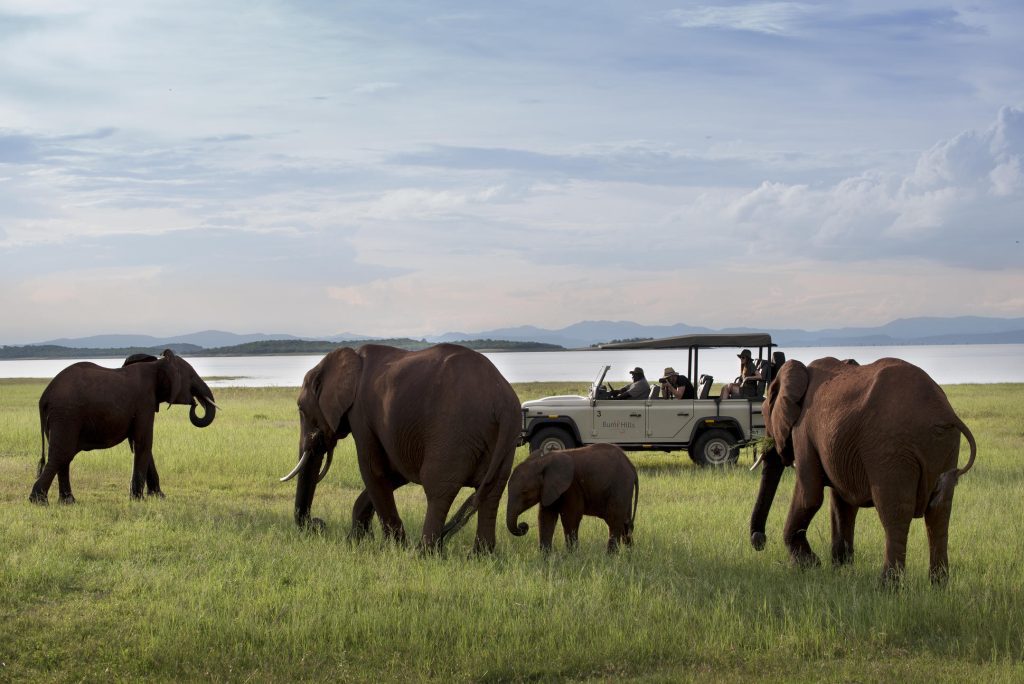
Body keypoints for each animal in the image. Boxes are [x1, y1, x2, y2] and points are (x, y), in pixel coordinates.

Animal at [32, 352, 216, 501]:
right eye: (191, 376)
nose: (195, 404)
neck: (157, 364)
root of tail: (44, 397)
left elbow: (138, 443)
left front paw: (158, 497)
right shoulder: (144, 402)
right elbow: (144, 442)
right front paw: (138, 499)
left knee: (63, 457)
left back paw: (68, 501)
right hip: (66, 415)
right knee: (61, 454)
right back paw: (39, 501)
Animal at [278, 344, 520, 552]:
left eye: (301, 409)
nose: (317, 524)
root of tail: (503, 403)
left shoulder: (361, 413)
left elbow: (372, 469)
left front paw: (394, 547)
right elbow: (394, 471)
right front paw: (356, 542)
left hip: (454, 431)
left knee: (439, 489)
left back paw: (424, 553)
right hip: (503, 441)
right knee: (493, 492)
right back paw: (480, 555)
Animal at [505, 444, 638, 548]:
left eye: (524, 492)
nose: (523, 526)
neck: (542, 460)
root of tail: (631, 467)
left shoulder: (571, 487)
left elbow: (570, 518)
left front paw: (571, 556)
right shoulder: (548, 489)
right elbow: (545, 517)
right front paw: (545, 559)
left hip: (620, 486)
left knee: (614, 520)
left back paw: (610, 557)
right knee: (626, 522)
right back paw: (628, 555)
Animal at [753, 356, 974, 585]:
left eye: (765, 415)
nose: (759, 541)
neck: (800, 372)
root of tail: (942, 411)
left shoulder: (803, 430)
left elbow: (810, 496)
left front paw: (809, 566)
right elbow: (843, 504)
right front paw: (840, 571)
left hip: (891, 449)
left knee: (894, 511)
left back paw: (887, 586)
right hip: (945, 445)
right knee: (939, 511)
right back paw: (938, 586)